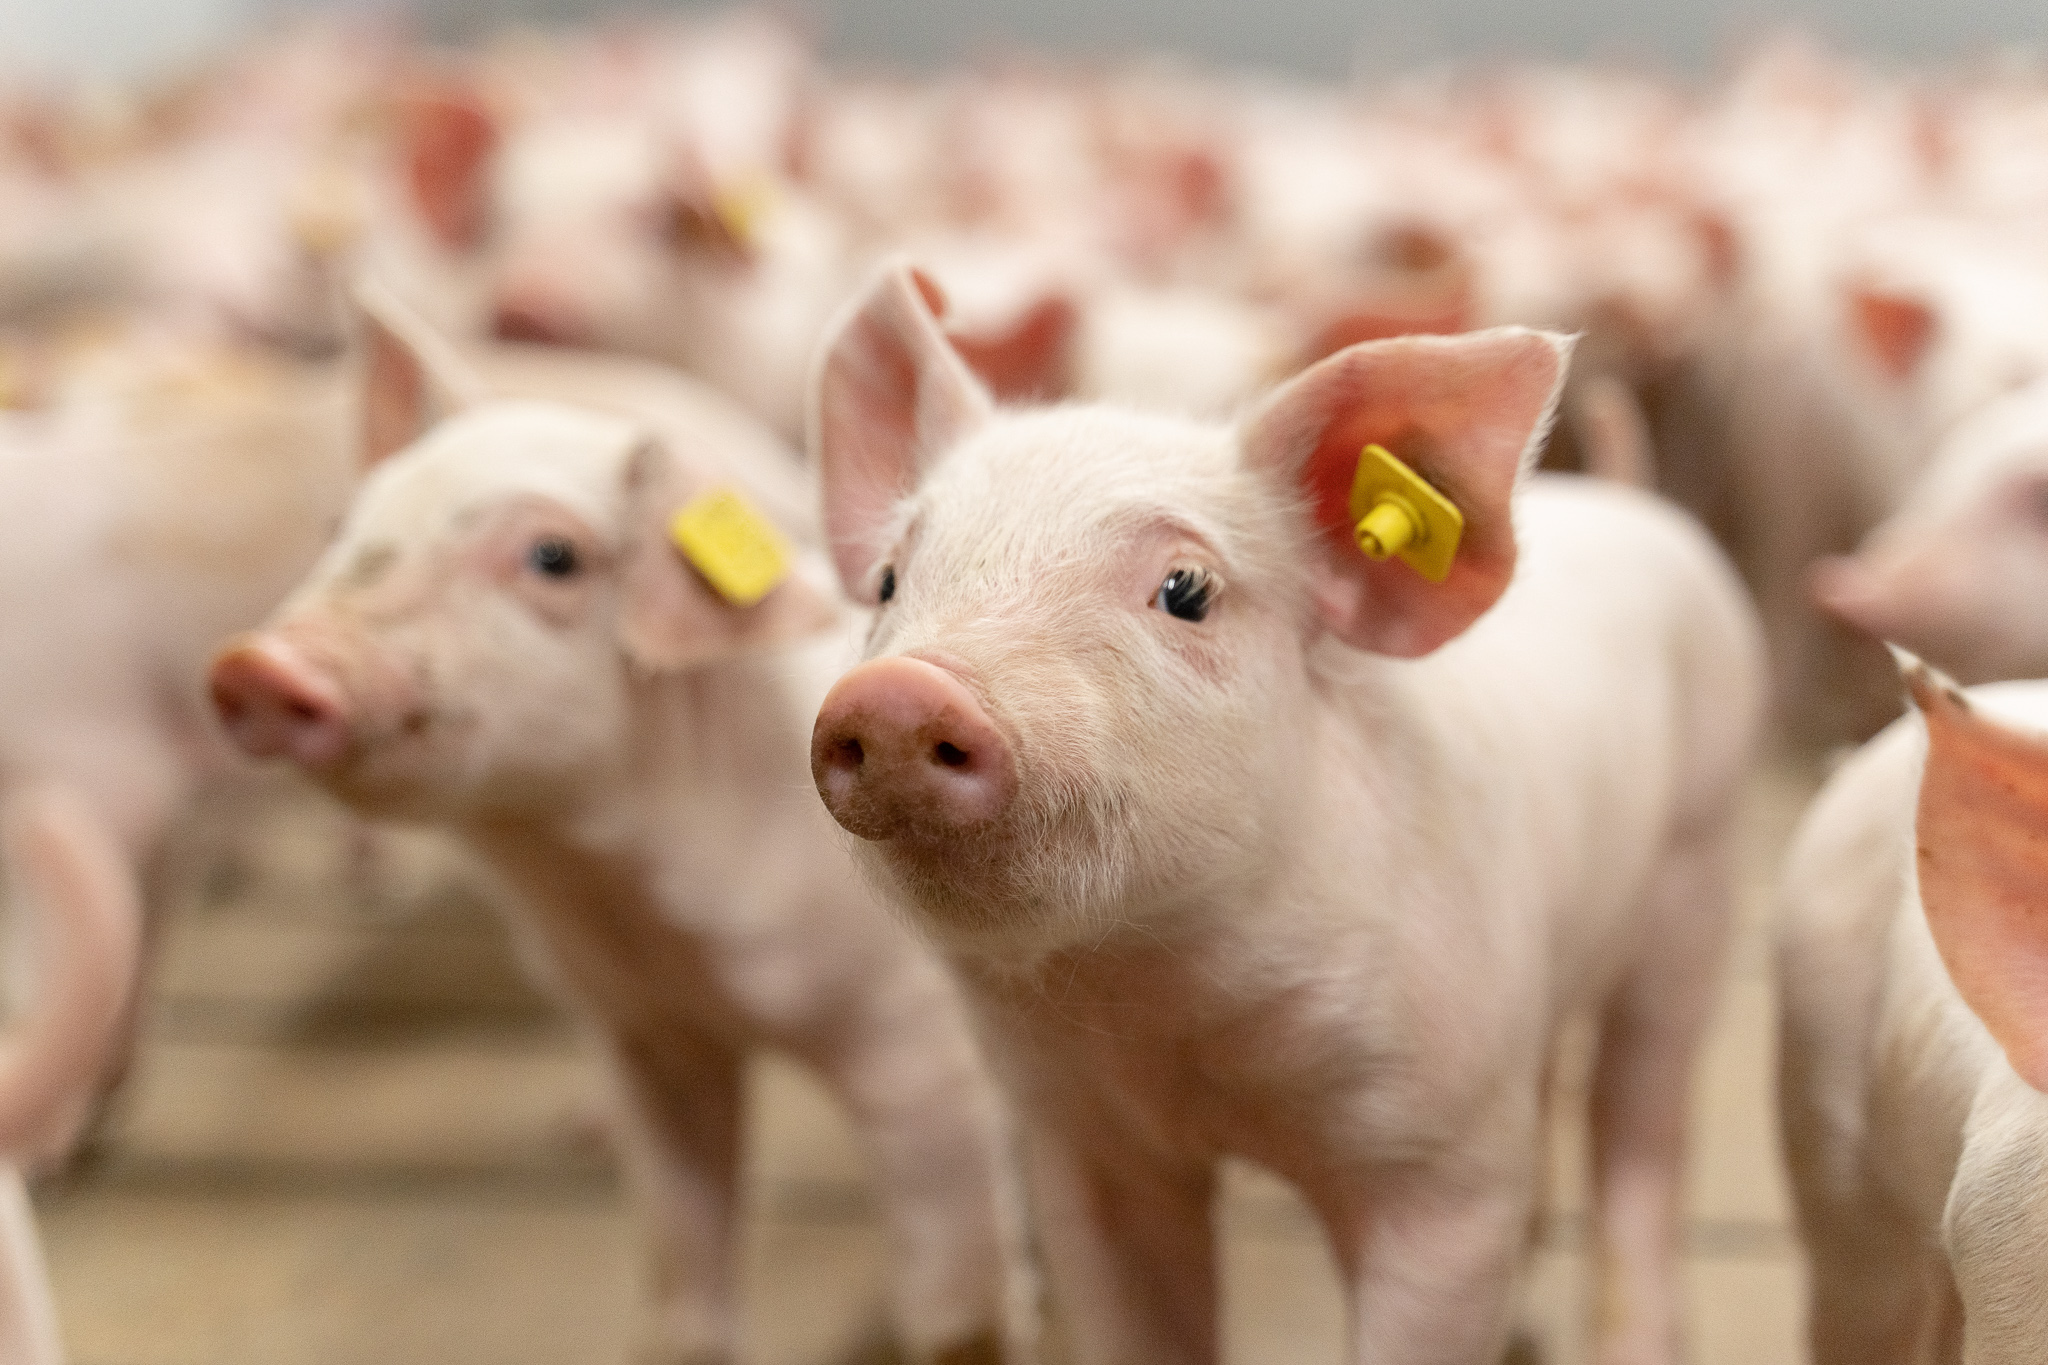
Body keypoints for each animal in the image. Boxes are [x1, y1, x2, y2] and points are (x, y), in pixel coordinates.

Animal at [207, 294, 1029, 1365]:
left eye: (553, 557)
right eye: (342, 526)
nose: (256, 667)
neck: (619, 895)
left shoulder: (920, 1051)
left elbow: (954, 1318)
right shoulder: (647, 1029)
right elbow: (682, 1281)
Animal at [807, 262, 1765, 1365]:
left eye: (1186, 588)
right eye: (888, 580)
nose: (897, 694)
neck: (1174, 1017)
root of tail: (1628, 496)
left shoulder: (1443, 1157)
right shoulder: (1085, 1147)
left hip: (1698, 866)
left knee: (1643, 1126)